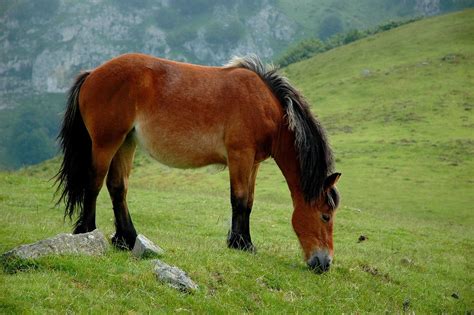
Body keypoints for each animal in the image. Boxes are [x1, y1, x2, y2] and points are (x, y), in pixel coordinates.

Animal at [56, 53, 340, 272]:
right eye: (325, 215)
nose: (324, 263)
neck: (265, 105)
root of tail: (93, 73)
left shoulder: (254, 162)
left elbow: (248, 202)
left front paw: (244, 243)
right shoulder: (240, 155)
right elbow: (238, 200)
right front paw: (240, 244)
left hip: (126, 143)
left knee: (117, 188)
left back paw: (127, 239)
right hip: (106, 143)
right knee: (93, 184)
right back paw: (87, 232)